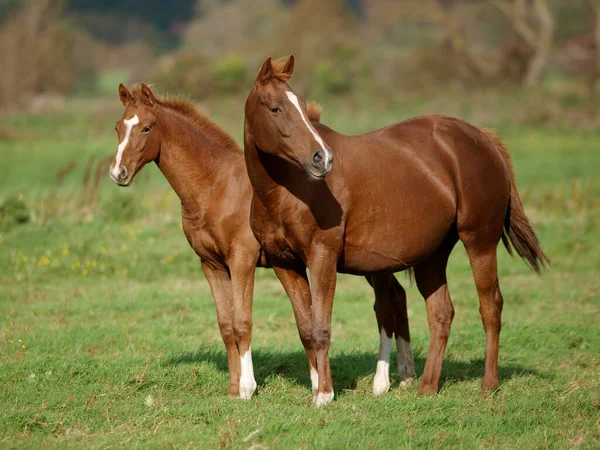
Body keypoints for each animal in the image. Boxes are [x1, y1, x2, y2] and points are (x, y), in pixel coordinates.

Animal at [110, 82, 414, 400]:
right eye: (117, 127)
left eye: (146, 128)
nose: (118, 172)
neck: (217, 186)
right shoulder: (210, 265)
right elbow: (225, 325)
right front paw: (233, 389)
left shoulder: (241, 259)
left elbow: (242, 322)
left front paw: (247, 388)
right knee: (399, 297)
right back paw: (406, 375)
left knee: (386, 306)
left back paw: (384, 382)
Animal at [243, 54, 548, 406]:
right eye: (275, 108)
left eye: (304, 107)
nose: (322, 159)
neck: (289, 190)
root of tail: (484, 139)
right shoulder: (286, 265)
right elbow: (306, 329)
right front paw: (320, 386)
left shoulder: (322, 259)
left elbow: (321, 328)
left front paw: (325, 395)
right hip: (433, 255)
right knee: (441, 314)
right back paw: (427, 386)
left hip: (480, 243)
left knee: (490, 307)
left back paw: (489, 385)